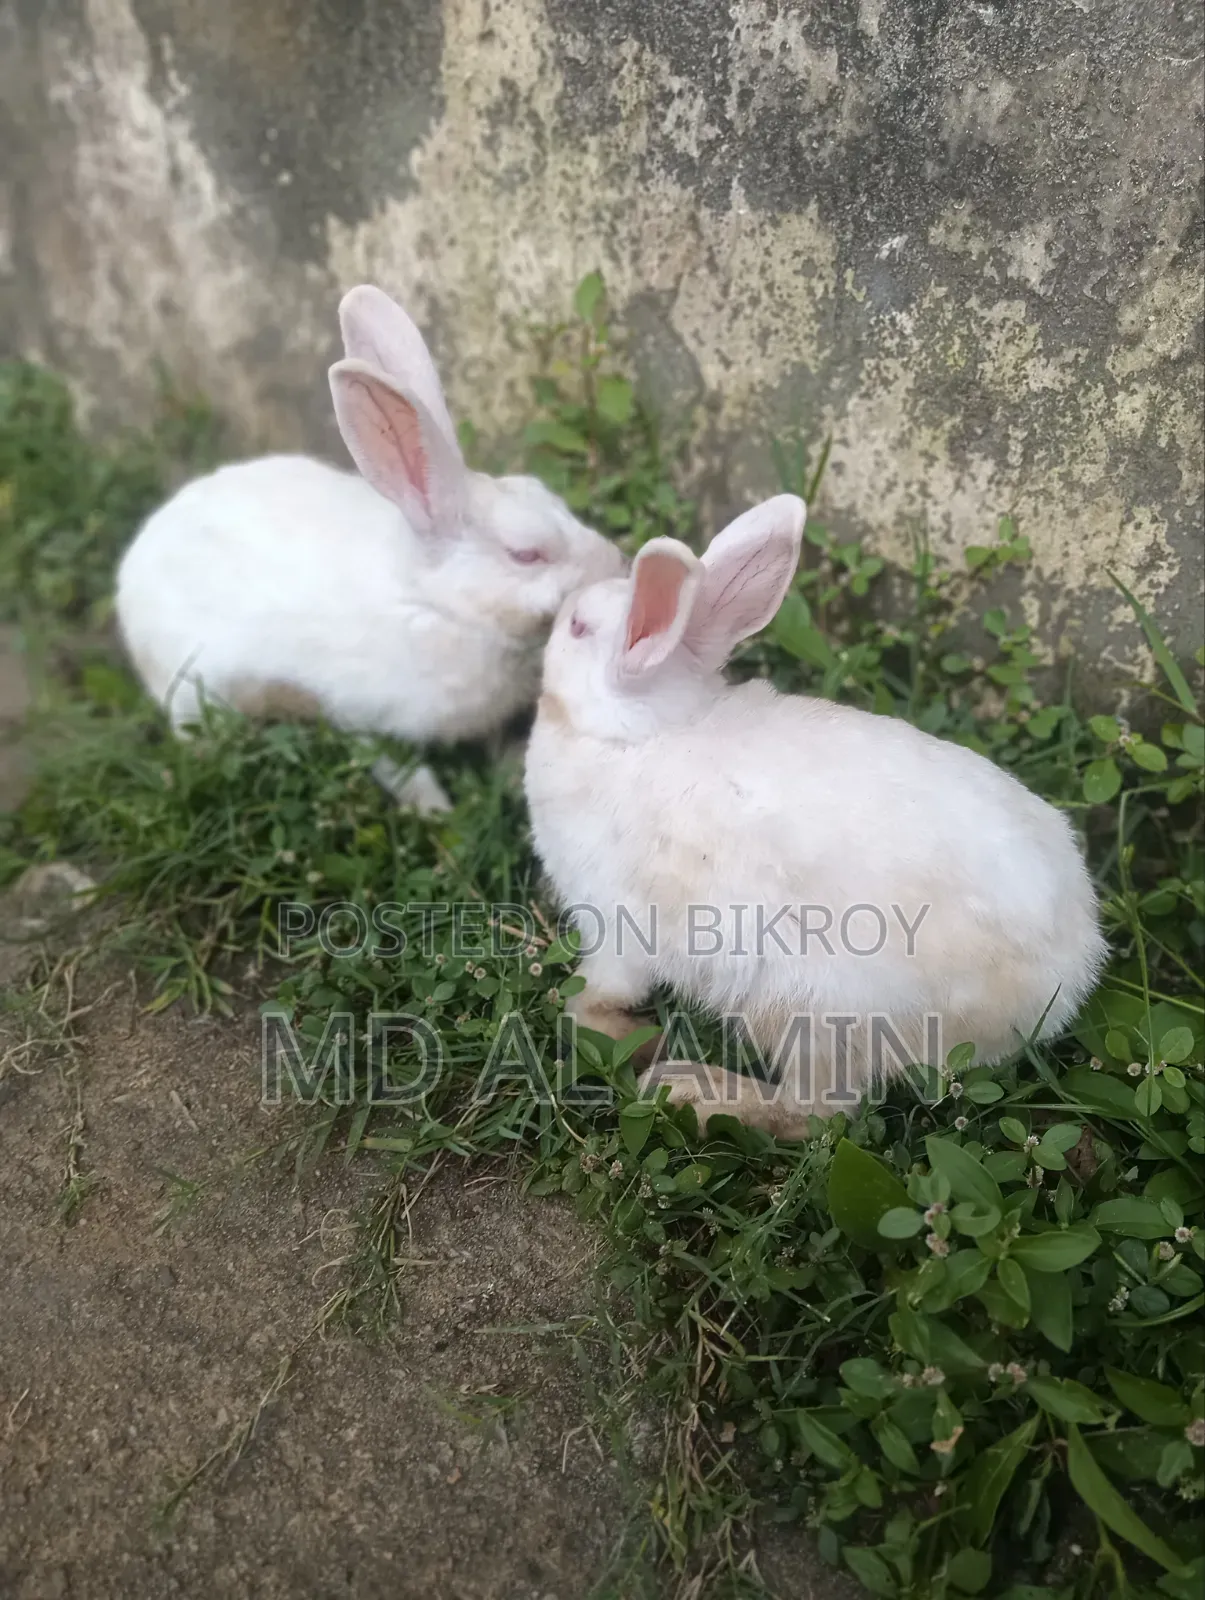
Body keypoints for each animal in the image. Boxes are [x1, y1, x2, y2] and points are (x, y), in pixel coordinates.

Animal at [115, 285, 626, 812]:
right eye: (526, 554)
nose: (616, 561)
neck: (435, 603)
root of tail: (134, 561)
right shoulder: (358, 714)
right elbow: (395, 766)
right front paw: (434, 810)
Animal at [524, 493, 1107, 1139]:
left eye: (578, 629)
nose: (557, 618)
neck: (632, 737)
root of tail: (1068, 977)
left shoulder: (613, 925)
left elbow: (597, 994)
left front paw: (614, 1031)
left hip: (806, 1007)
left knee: (820, 1113)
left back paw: (688, 1088)